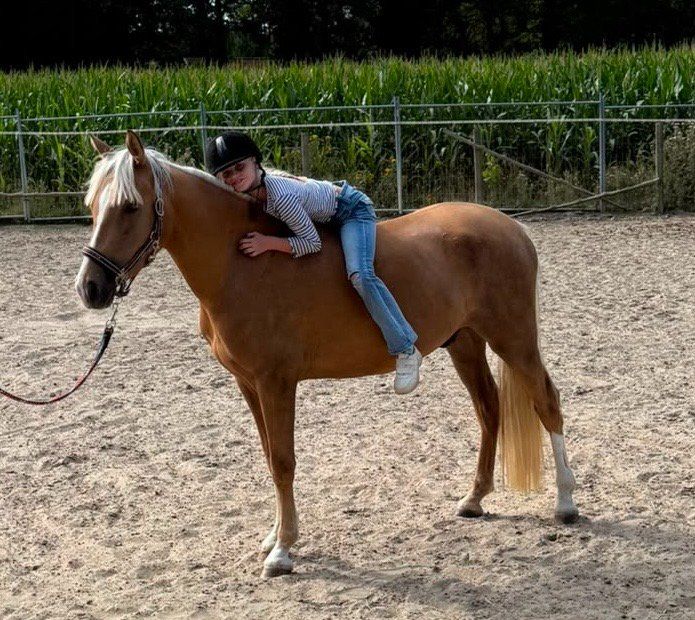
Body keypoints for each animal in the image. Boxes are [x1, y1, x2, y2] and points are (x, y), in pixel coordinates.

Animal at [75, 130, 578, 578]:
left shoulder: (276, 382)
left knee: (546, 402)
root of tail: (511, 226)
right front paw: (275, 535)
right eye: (92, 208)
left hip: (514, 339)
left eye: (130, 207)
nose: (91, 288)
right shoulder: (248, 382)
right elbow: (269, 456)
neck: (240, 265)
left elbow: (283, 461)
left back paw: (566, 503)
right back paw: (474, 499)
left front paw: (283, 551)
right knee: (489, 409)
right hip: (466, 342)